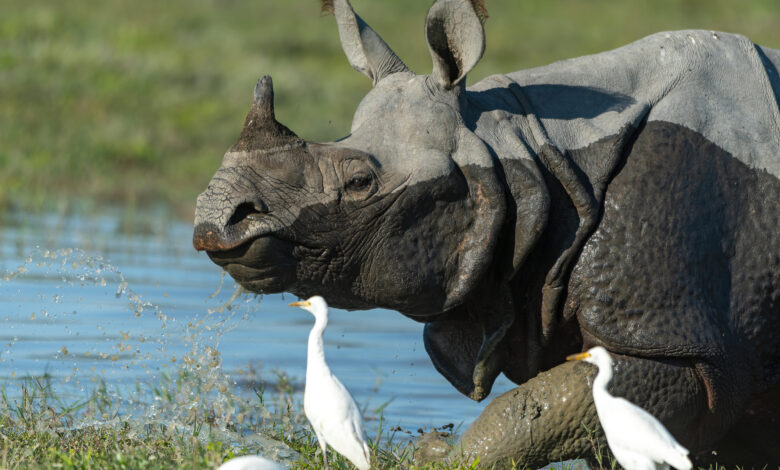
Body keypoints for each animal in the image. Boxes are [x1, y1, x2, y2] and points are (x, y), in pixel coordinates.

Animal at [193, 0, 780, 466]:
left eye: (360, 182)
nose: (214, 224)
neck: (523, 148)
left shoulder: (673, 340)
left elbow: (526, 410)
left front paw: (432, 454)